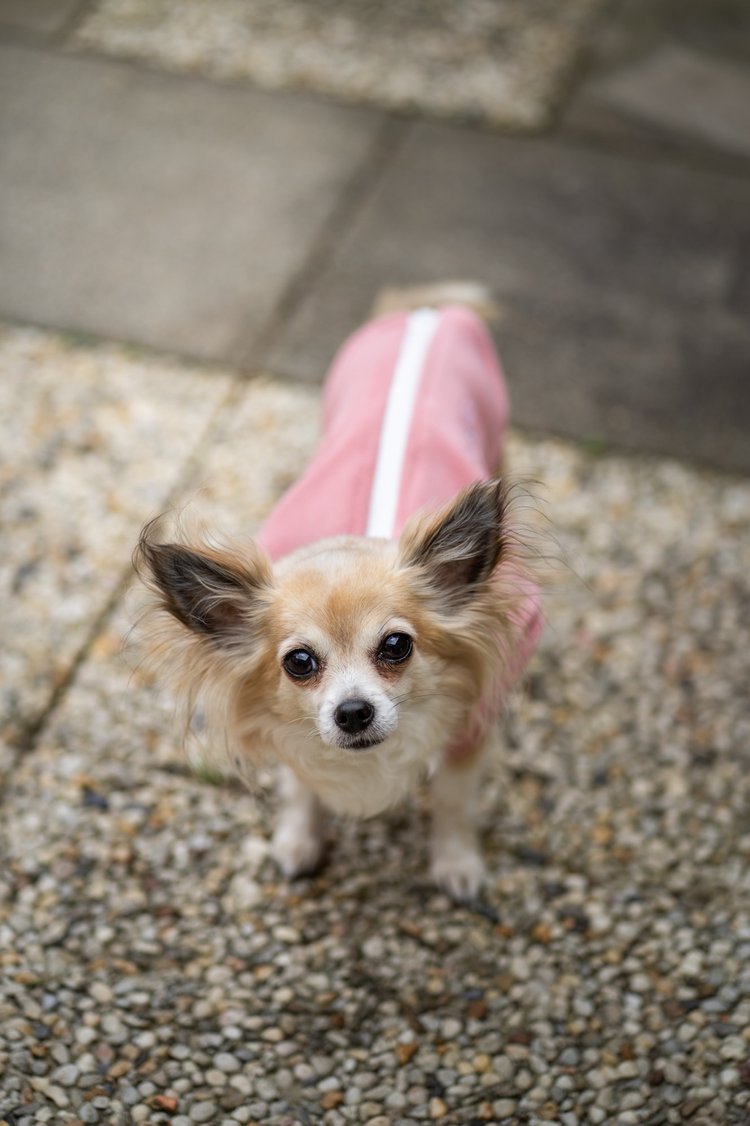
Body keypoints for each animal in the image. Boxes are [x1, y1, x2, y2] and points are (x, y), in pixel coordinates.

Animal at [134, 286, 540, 900]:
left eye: (397, 647)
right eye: (299, 662)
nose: (352, 711)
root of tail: (425, 307)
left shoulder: (471, 725)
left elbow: (452, 803)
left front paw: (457, 862)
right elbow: (302, 786)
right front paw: (299, 839)